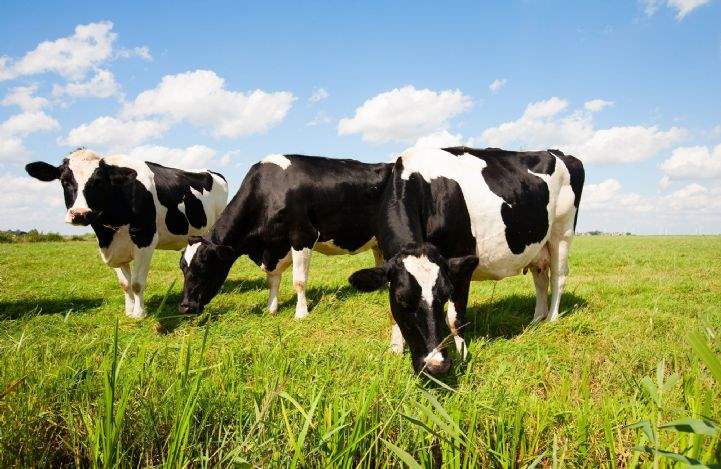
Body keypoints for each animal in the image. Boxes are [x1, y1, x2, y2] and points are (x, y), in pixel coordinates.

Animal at [26, 148, 228, 320]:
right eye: (64, 181)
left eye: (98, 182)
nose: (80, 214)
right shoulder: (113, 247)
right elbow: (125, 284)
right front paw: (129, 310)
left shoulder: (145, 240)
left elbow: (137, 283)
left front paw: (139, 313)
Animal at [179, 154, 394, 318]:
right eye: (182, 267)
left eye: (204, 266)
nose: (184, 306)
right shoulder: (273, 247)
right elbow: (272, 280)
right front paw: (271, 308)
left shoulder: (302, 236)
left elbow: (299, 280)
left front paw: (301, 313)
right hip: (377, 240)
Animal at [346, 146, 584, 372]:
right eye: (402, 299)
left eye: (444, 295)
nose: (436, 365)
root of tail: (559, 153)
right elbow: (393, 313)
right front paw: (395, 350)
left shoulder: (461, 262)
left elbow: (454, 318)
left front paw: (462, 354)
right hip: (538, 246)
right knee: (541, 280)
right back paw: (536, 321)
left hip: (562, 232)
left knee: (558, 278)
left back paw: (551, 319)